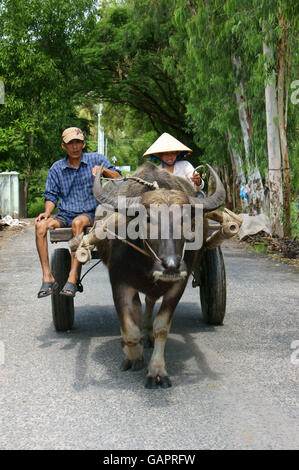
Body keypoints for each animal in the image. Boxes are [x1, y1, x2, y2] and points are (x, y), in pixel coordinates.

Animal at [92, 162, 226, 390]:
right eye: (147, 218)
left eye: (186, 219)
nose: (170, 265)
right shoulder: (118, 281)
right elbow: (129, 326)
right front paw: (133, 356)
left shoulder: (178, 283)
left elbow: (161, 327)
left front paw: (157, 371)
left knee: (148, 302)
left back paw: (146, 334)